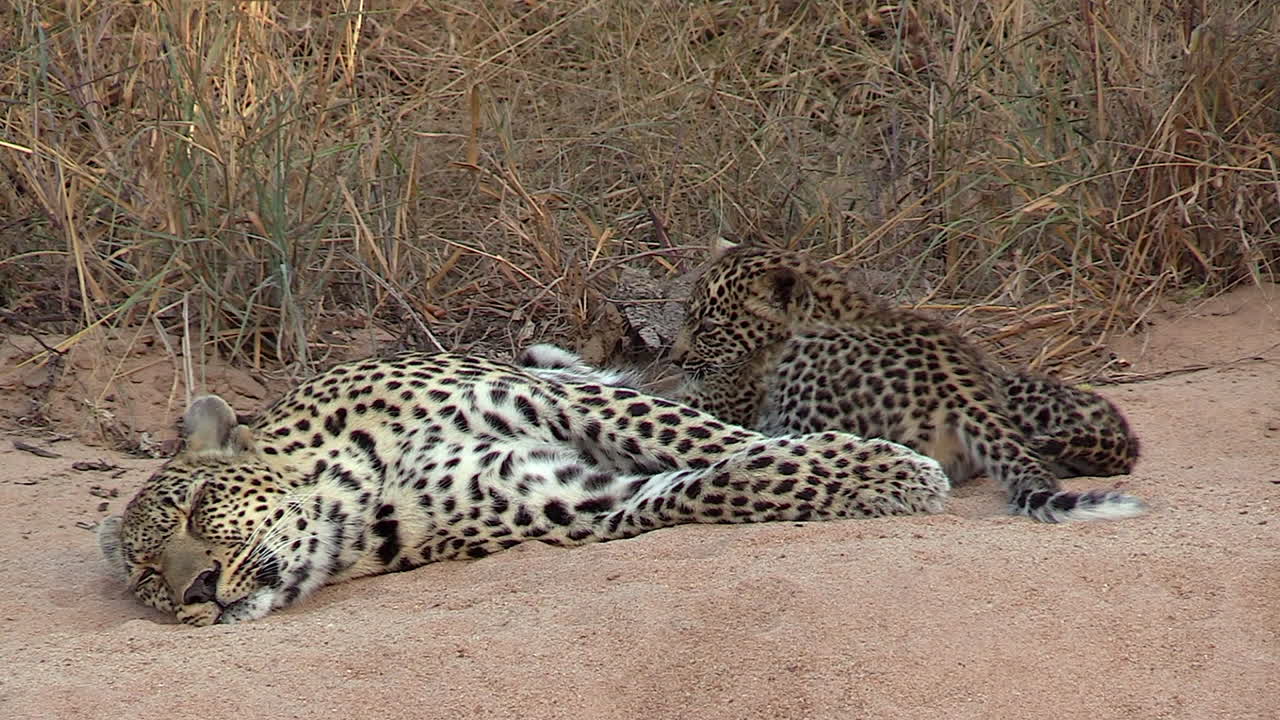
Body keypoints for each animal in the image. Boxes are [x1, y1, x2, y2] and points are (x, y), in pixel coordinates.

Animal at [99, 351, 950, 626]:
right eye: (146, 576)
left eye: (197, 510)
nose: (196, 590)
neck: (357, 481)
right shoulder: (568, 498)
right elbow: (710, 484)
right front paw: (878, 472)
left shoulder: (555, 402)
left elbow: (712, 442)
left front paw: (887, 466)